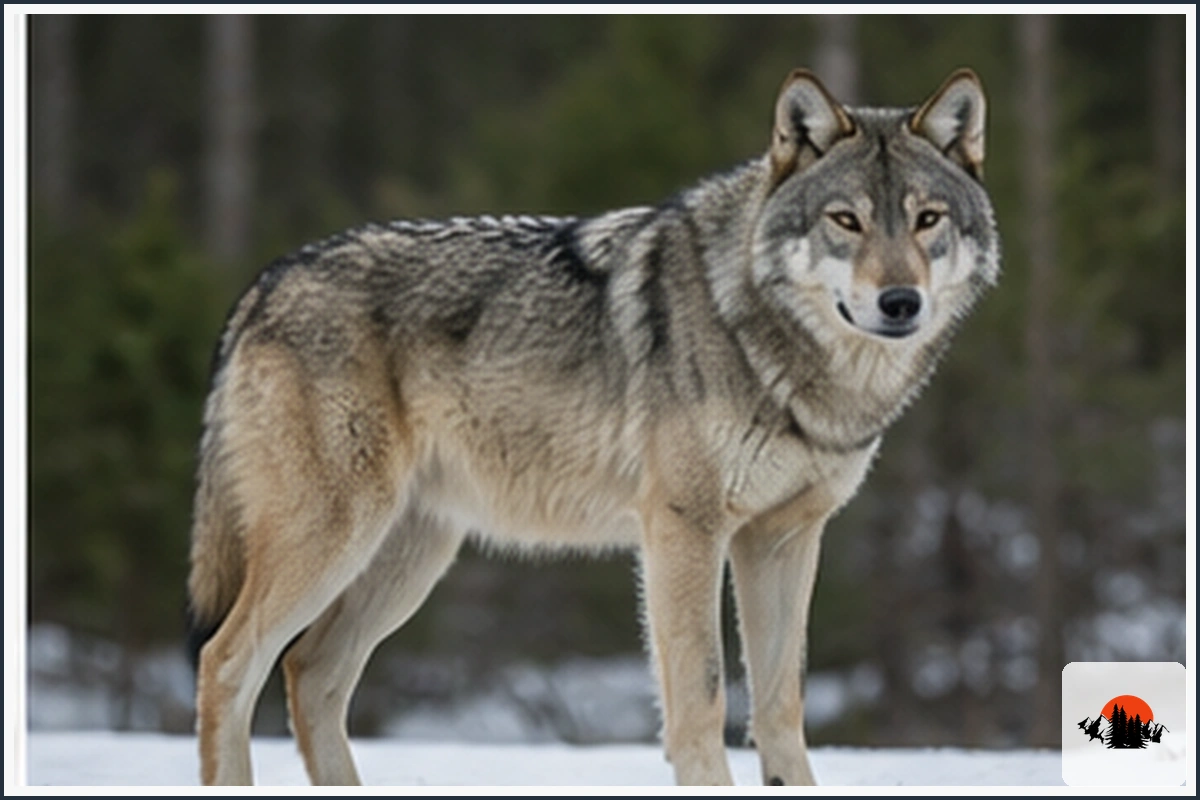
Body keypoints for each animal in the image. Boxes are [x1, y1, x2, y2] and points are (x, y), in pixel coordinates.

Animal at [187, 68, 998, 786]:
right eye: (846, 220)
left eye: (927, 220)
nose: (900, 302)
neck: (773, 348)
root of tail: (263, 285)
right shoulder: (685, 528)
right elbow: (702, 698)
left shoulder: (785, 538)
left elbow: (780, 706)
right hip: (337, 537)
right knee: (225, 661)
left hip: (408, 558)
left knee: (310, 673)